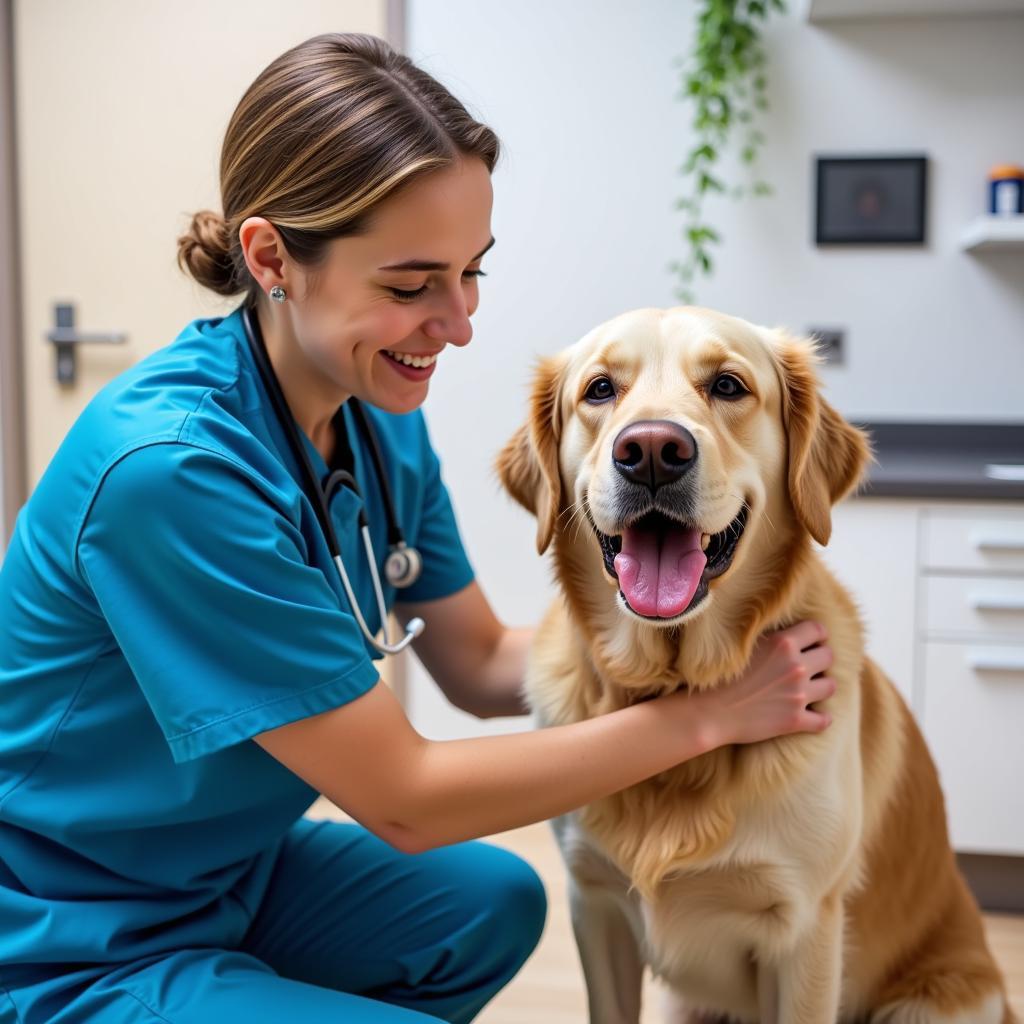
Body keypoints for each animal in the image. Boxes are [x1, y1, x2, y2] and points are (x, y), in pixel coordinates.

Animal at [495, 305, 1015, 1024]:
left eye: (728, 385)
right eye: (599, 390)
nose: (650, 451)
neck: (676, 682)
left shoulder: (805, 934)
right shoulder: (593, 908)